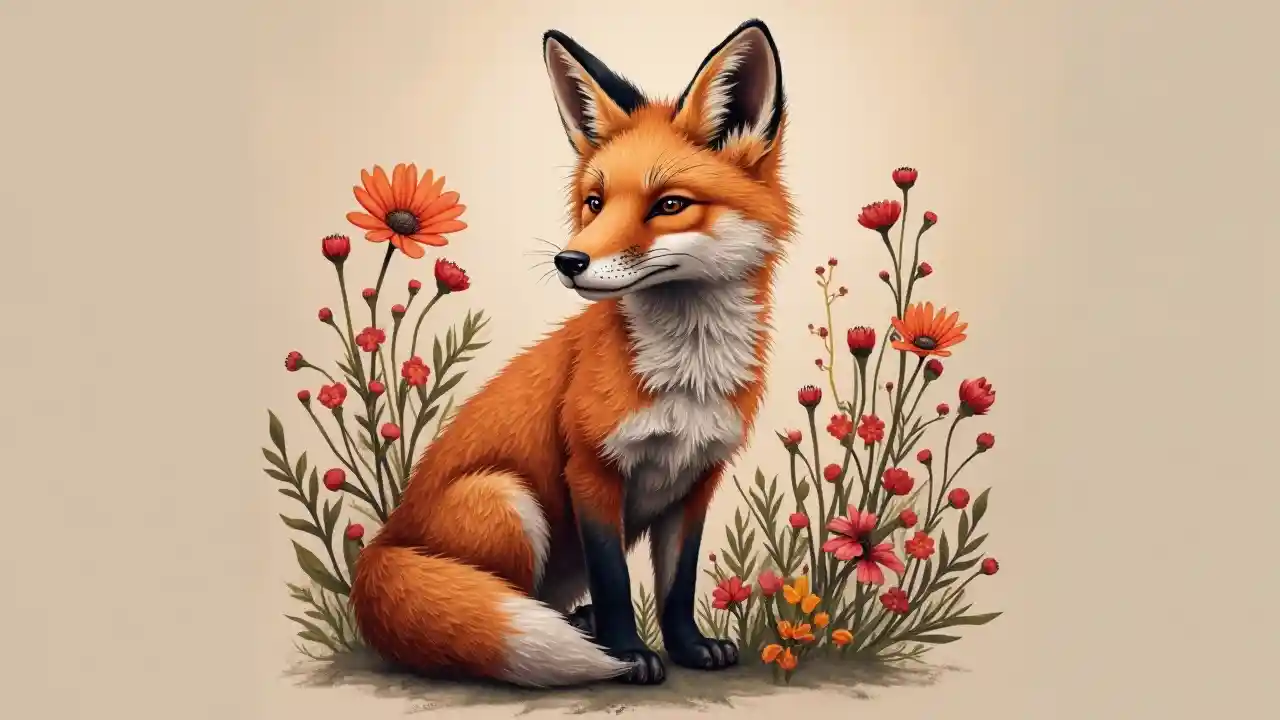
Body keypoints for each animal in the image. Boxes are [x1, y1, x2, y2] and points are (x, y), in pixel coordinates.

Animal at [350, 18, 795, 688]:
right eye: (595, 202)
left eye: (669, 205)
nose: (569, 261)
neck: (685, 377)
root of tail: (382, 544)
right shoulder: (590, 470)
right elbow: (615, 582)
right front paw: (628, 654)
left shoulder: (697, 480)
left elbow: (677, 584)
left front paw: (689, 648)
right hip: (506, 500)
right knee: (488, 605)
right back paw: (570, 637)